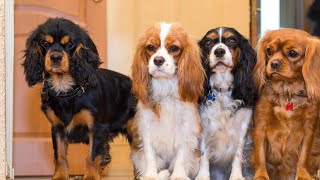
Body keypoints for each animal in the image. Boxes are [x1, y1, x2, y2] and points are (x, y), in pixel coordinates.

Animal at [21, 17, 136, 180]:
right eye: (45, 43)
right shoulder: (57, 128)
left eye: (69, 44)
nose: (55, 57)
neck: (65, 88)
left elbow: (92, 156)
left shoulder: (97, 128)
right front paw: (60, 176)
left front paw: (90, 177)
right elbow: (60, 156)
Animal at [129, 21, 205, 179]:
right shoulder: (146, 126)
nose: (158, 60)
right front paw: (151, 175)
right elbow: (150, 155)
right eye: (150, 47)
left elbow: (181, 155)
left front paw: (178, 175)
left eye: (174, 48)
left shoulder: (186, 126)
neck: (165, 86)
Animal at [195, 27, 258, 180]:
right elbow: (204, 153)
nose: (219, 51)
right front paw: (202, 176)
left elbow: (238, 154)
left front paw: (236, 176)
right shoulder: (204, 126)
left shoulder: (242, 128)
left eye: (232, 40)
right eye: (208, 43)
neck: (223, 89)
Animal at [252, 27, 320, 179]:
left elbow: (303, 157)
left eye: (292, 53)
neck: (287, 91)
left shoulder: (309, 129)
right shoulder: (260, 126)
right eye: (269, 51)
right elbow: (260, 156)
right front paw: (261, 175)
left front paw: (303, 175)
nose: (274, 63)